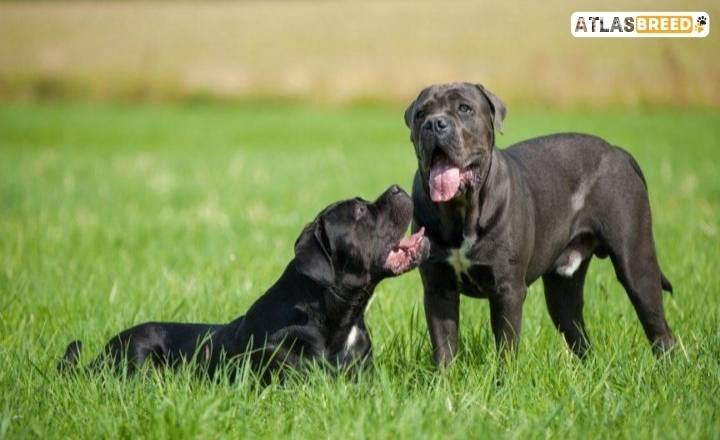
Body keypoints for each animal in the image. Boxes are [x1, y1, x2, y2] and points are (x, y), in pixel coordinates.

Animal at [404, 82, 676, 368]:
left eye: (464, 108)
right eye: (421, 114)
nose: (435, 124)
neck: (461, 212)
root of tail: (619, 152)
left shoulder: (507, 290)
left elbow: (506, 347)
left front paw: (504, 379)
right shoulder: (438, 289)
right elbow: (444, 346)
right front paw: (444, 379)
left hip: (636, 264)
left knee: (659, 328)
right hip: (562, 291)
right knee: (579, 336)